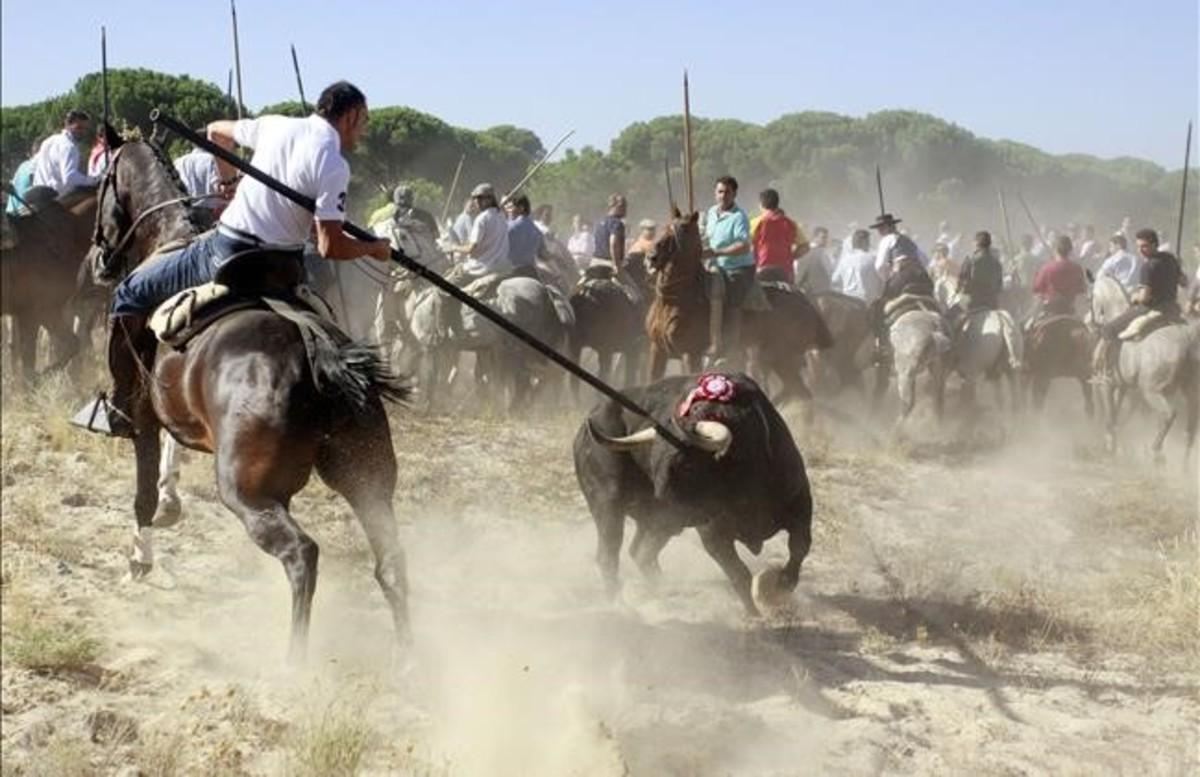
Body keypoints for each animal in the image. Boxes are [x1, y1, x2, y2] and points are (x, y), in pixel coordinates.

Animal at [87, 139, 410, 661]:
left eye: (102, 182)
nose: (99, 259)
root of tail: (318, 355)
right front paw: (170, 503)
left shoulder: (143, 416)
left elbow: (141, 496)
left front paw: (139, 560)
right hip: (367, 477)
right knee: (390, 559)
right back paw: (410, 658)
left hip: (247, 491)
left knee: (302, 554)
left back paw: (293, 662)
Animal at [573, 374, 816, 613]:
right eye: (653, 462)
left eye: (686, 465)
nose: (659, 501)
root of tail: (583, 431)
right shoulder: (712, 533)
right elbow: (739, 574)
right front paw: (754, 614)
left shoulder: (801, 507)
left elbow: (799, 547)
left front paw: (783, 584)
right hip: (608, 505)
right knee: (608, 555)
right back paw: (619, 604)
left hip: (660, 526)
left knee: (641, 553)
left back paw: (663, 593)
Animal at [643, 209, 830, 402]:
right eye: (665, 227)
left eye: (684, 229)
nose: (651, 257)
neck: (674, 299)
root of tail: (809, 306)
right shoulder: (657, 350)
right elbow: (652, 381)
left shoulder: (691, 353)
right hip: (774, 357)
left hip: (783, 356)